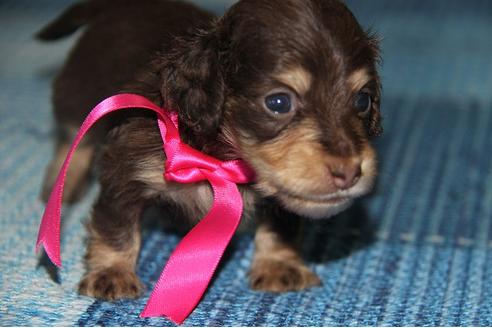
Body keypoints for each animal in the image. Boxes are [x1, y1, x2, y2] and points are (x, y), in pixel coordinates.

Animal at [40, 0, 382, 300]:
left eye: (362, 100)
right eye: (278, 102)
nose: (349, 172)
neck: (217, 157)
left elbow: (279, 226)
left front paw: (279, 266)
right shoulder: (125, 168)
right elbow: (117, 227)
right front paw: (111, 273)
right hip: (76, 98)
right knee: (73, 143)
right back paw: (60, 187)